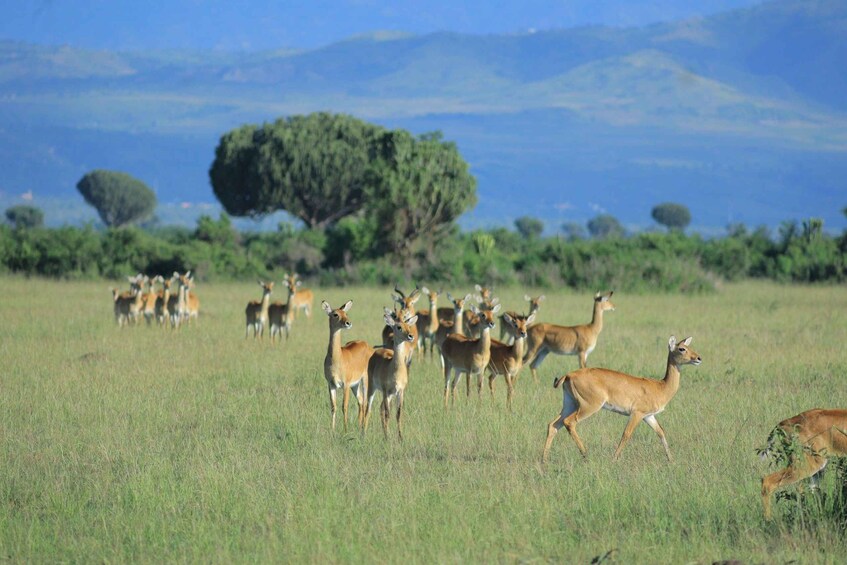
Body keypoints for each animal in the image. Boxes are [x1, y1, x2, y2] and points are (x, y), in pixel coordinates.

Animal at [321, 300, 374, 432]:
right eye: (335, 314)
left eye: (345, 313)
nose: (348, 323)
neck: (336, 359)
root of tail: (367, 345)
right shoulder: (331, 384)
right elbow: (333, 406)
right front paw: (332, 430)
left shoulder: (346, 384)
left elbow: (344, 406)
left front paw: (345, 430)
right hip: (355, 385)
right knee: (361, 401)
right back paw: (359, 425)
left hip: (364, 381)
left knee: (365, 403)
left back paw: (363, 427)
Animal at [364, 312, 418, 440]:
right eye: (398, 327)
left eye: (408, 326)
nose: (410, 336)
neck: (394, 370)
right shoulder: (385, 390)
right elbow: (388, 413)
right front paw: (387, 437)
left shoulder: (400, 391)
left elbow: (398, 414)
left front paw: (400, 437)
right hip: (373, 388)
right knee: (368, 409)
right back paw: (363, 433)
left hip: (390, 395)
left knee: (380, 408)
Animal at [541, 336, 702, 464]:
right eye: (681, 348)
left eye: (689, 347)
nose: (698, 358)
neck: (660, 387)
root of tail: (569, 375)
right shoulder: (637, 414)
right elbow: (626, 434)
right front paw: (614, 459)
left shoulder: (649, 416)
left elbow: (661, 432)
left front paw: (671, 460)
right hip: (589, 406)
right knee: (569, 422)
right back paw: (586, 455)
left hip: (570, 404)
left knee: (553, 425)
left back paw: (544, 460)